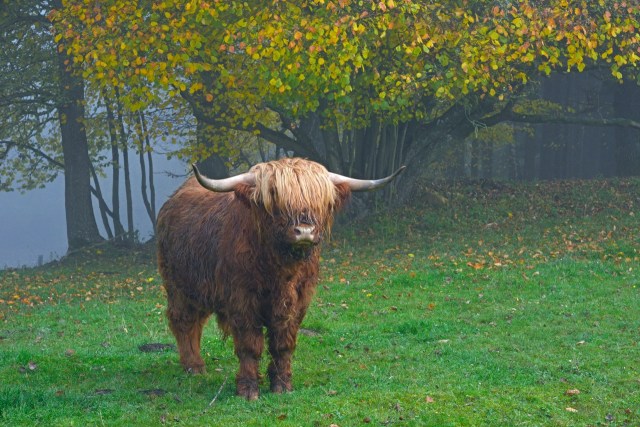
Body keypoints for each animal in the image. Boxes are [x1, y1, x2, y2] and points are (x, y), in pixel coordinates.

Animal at [156, 157, 404, 400]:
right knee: (183, 320)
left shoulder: (298, 301)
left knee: (196, 321)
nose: (305, 231)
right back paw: (193, 366)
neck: (279, 271)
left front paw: (282, 384)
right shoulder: (242, 300)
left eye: (320, 199)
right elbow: (250, 345)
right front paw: (248, 389)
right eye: (276, 197)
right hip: (178, 286)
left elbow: (283, 343)